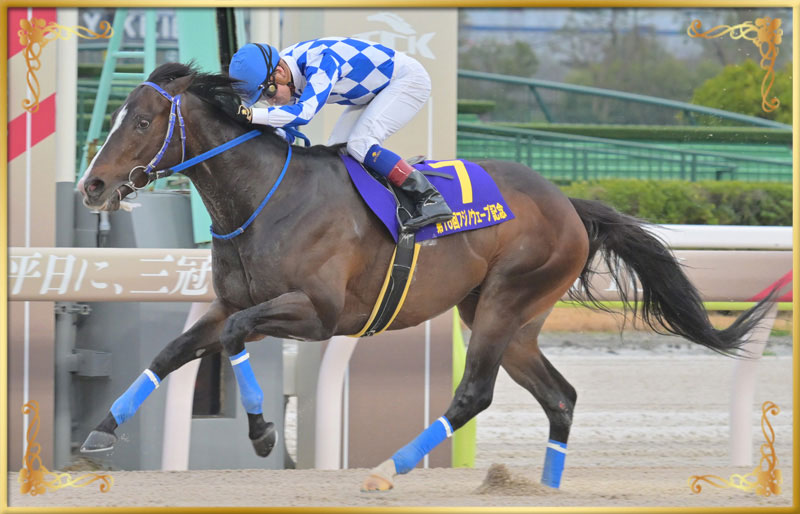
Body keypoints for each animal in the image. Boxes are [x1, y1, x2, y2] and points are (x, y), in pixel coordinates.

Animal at [76, 62, 773, 491]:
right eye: (114, 117)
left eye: (142, 122)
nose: (93, 187)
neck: (264, 197)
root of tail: (569, 204)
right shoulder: (227, 303)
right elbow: (172, 353)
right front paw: (99, 432)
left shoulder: (319, 313)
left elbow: (235, 337)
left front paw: (263, 432)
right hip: (511, 320)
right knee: (561, 397)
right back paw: (544, 488)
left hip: (505, 300)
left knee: (475, 395)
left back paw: (387, 470)